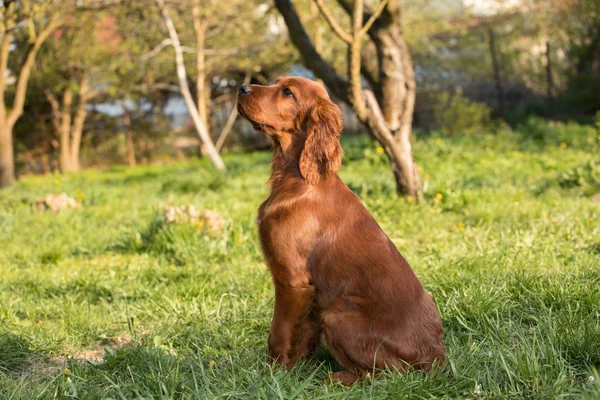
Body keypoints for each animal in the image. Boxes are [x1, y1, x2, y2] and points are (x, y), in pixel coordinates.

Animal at [236, 76, 446, 384]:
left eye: (287, 92)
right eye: (274, 82)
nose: (241, 89)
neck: (298, 177)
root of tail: (437, 357)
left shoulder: (291, 280)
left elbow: (278, 332)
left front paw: (271, 374)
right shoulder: (309, 292)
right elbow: (303, 332)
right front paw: (297, 366)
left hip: (337, 312)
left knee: (386, 375)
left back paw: (335, 379)